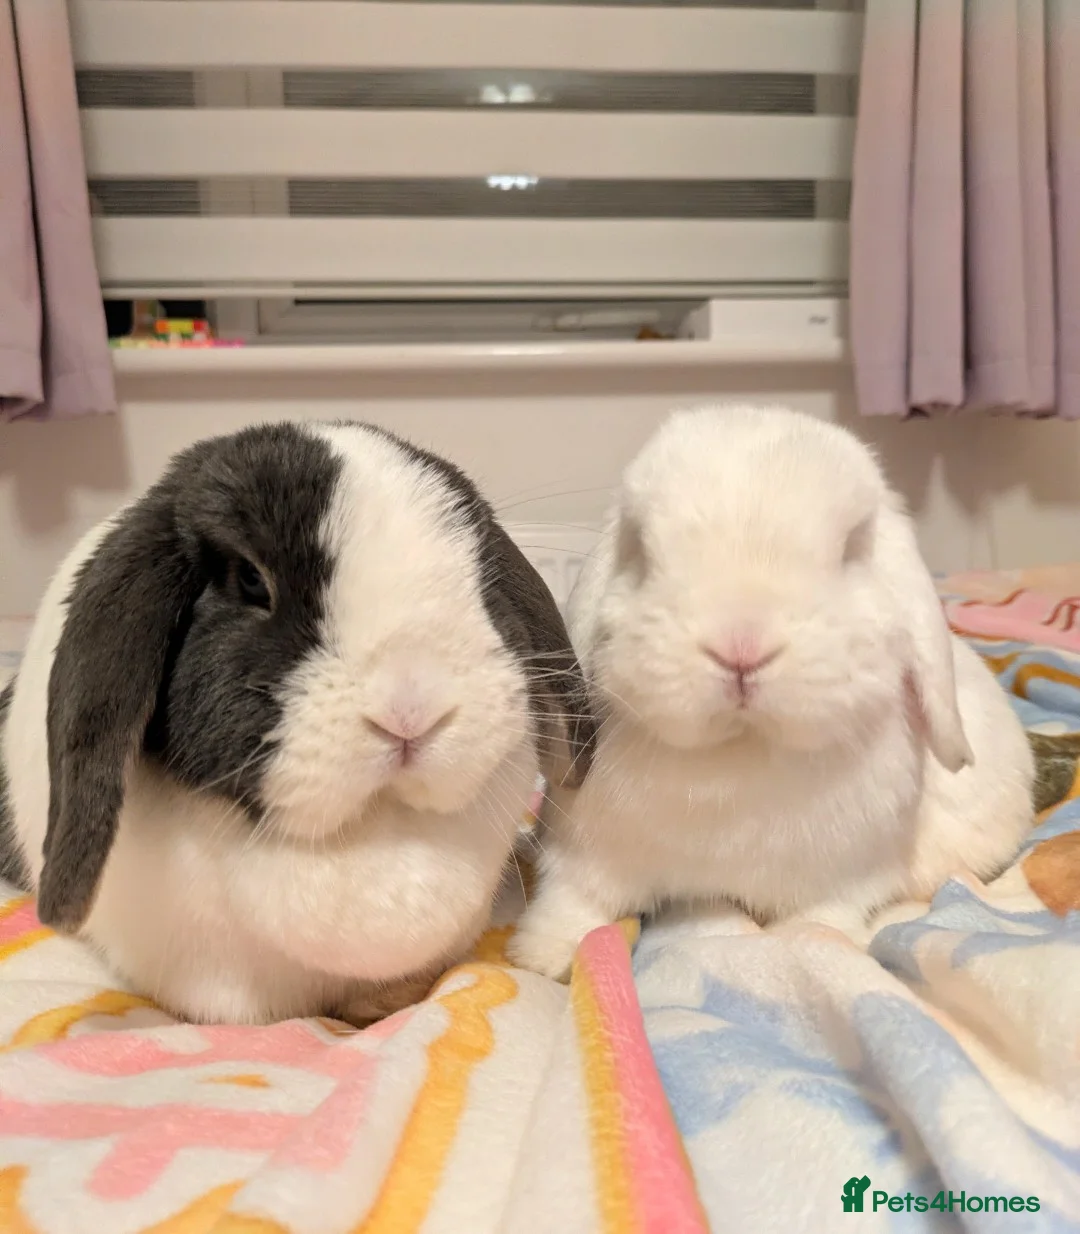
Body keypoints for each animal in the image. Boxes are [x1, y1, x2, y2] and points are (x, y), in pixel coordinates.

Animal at [510, 404, 1034, 979]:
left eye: (851, 550)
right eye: (640, 548)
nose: (741, 646)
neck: (740, 751)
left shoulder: (842, 880)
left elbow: (821, 920)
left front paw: (817, 947)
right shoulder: (584, 856)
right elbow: (571, 906)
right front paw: (542, 958)